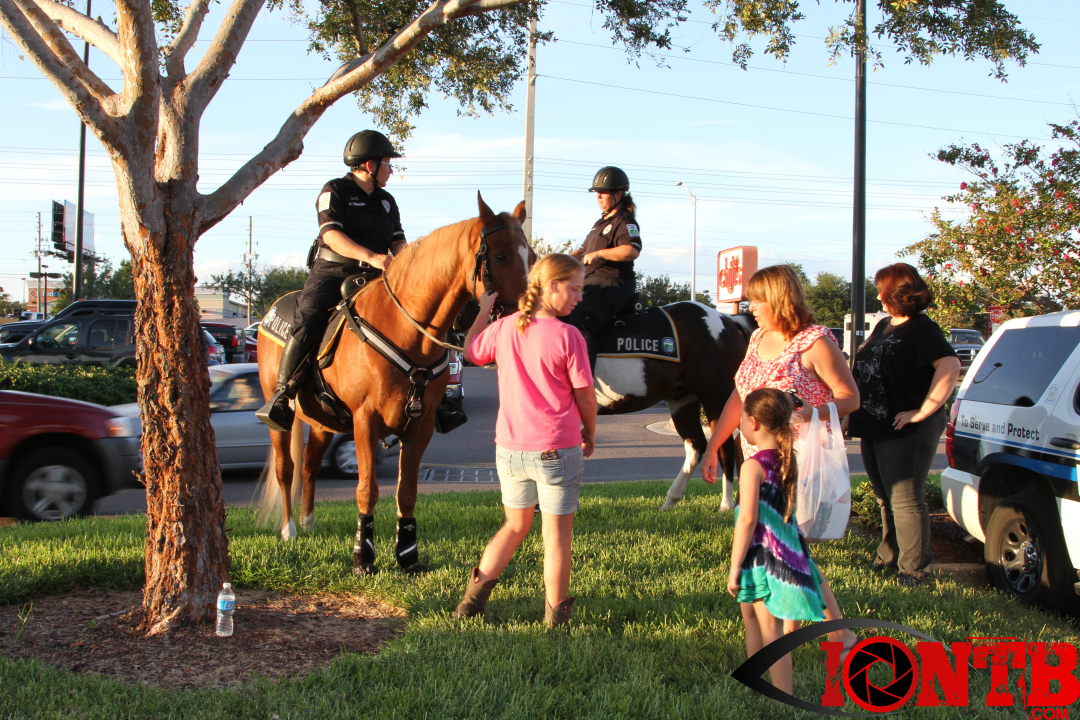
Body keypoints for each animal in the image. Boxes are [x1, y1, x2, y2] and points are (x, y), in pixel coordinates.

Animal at [256, 194, 534, 575]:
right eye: (501, 256)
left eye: (531, 255)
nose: (527, 314)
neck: (408, 330)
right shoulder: (365, 421)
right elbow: (367, 489)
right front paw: (363, 557)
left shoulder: (421, 425)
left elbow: (407, 492)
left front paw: (408, 556)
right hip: (280, 416)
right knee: (287, 468)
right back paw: (289, 529)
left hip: (322, 420)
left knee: (311, 464)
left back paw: (309, 522)